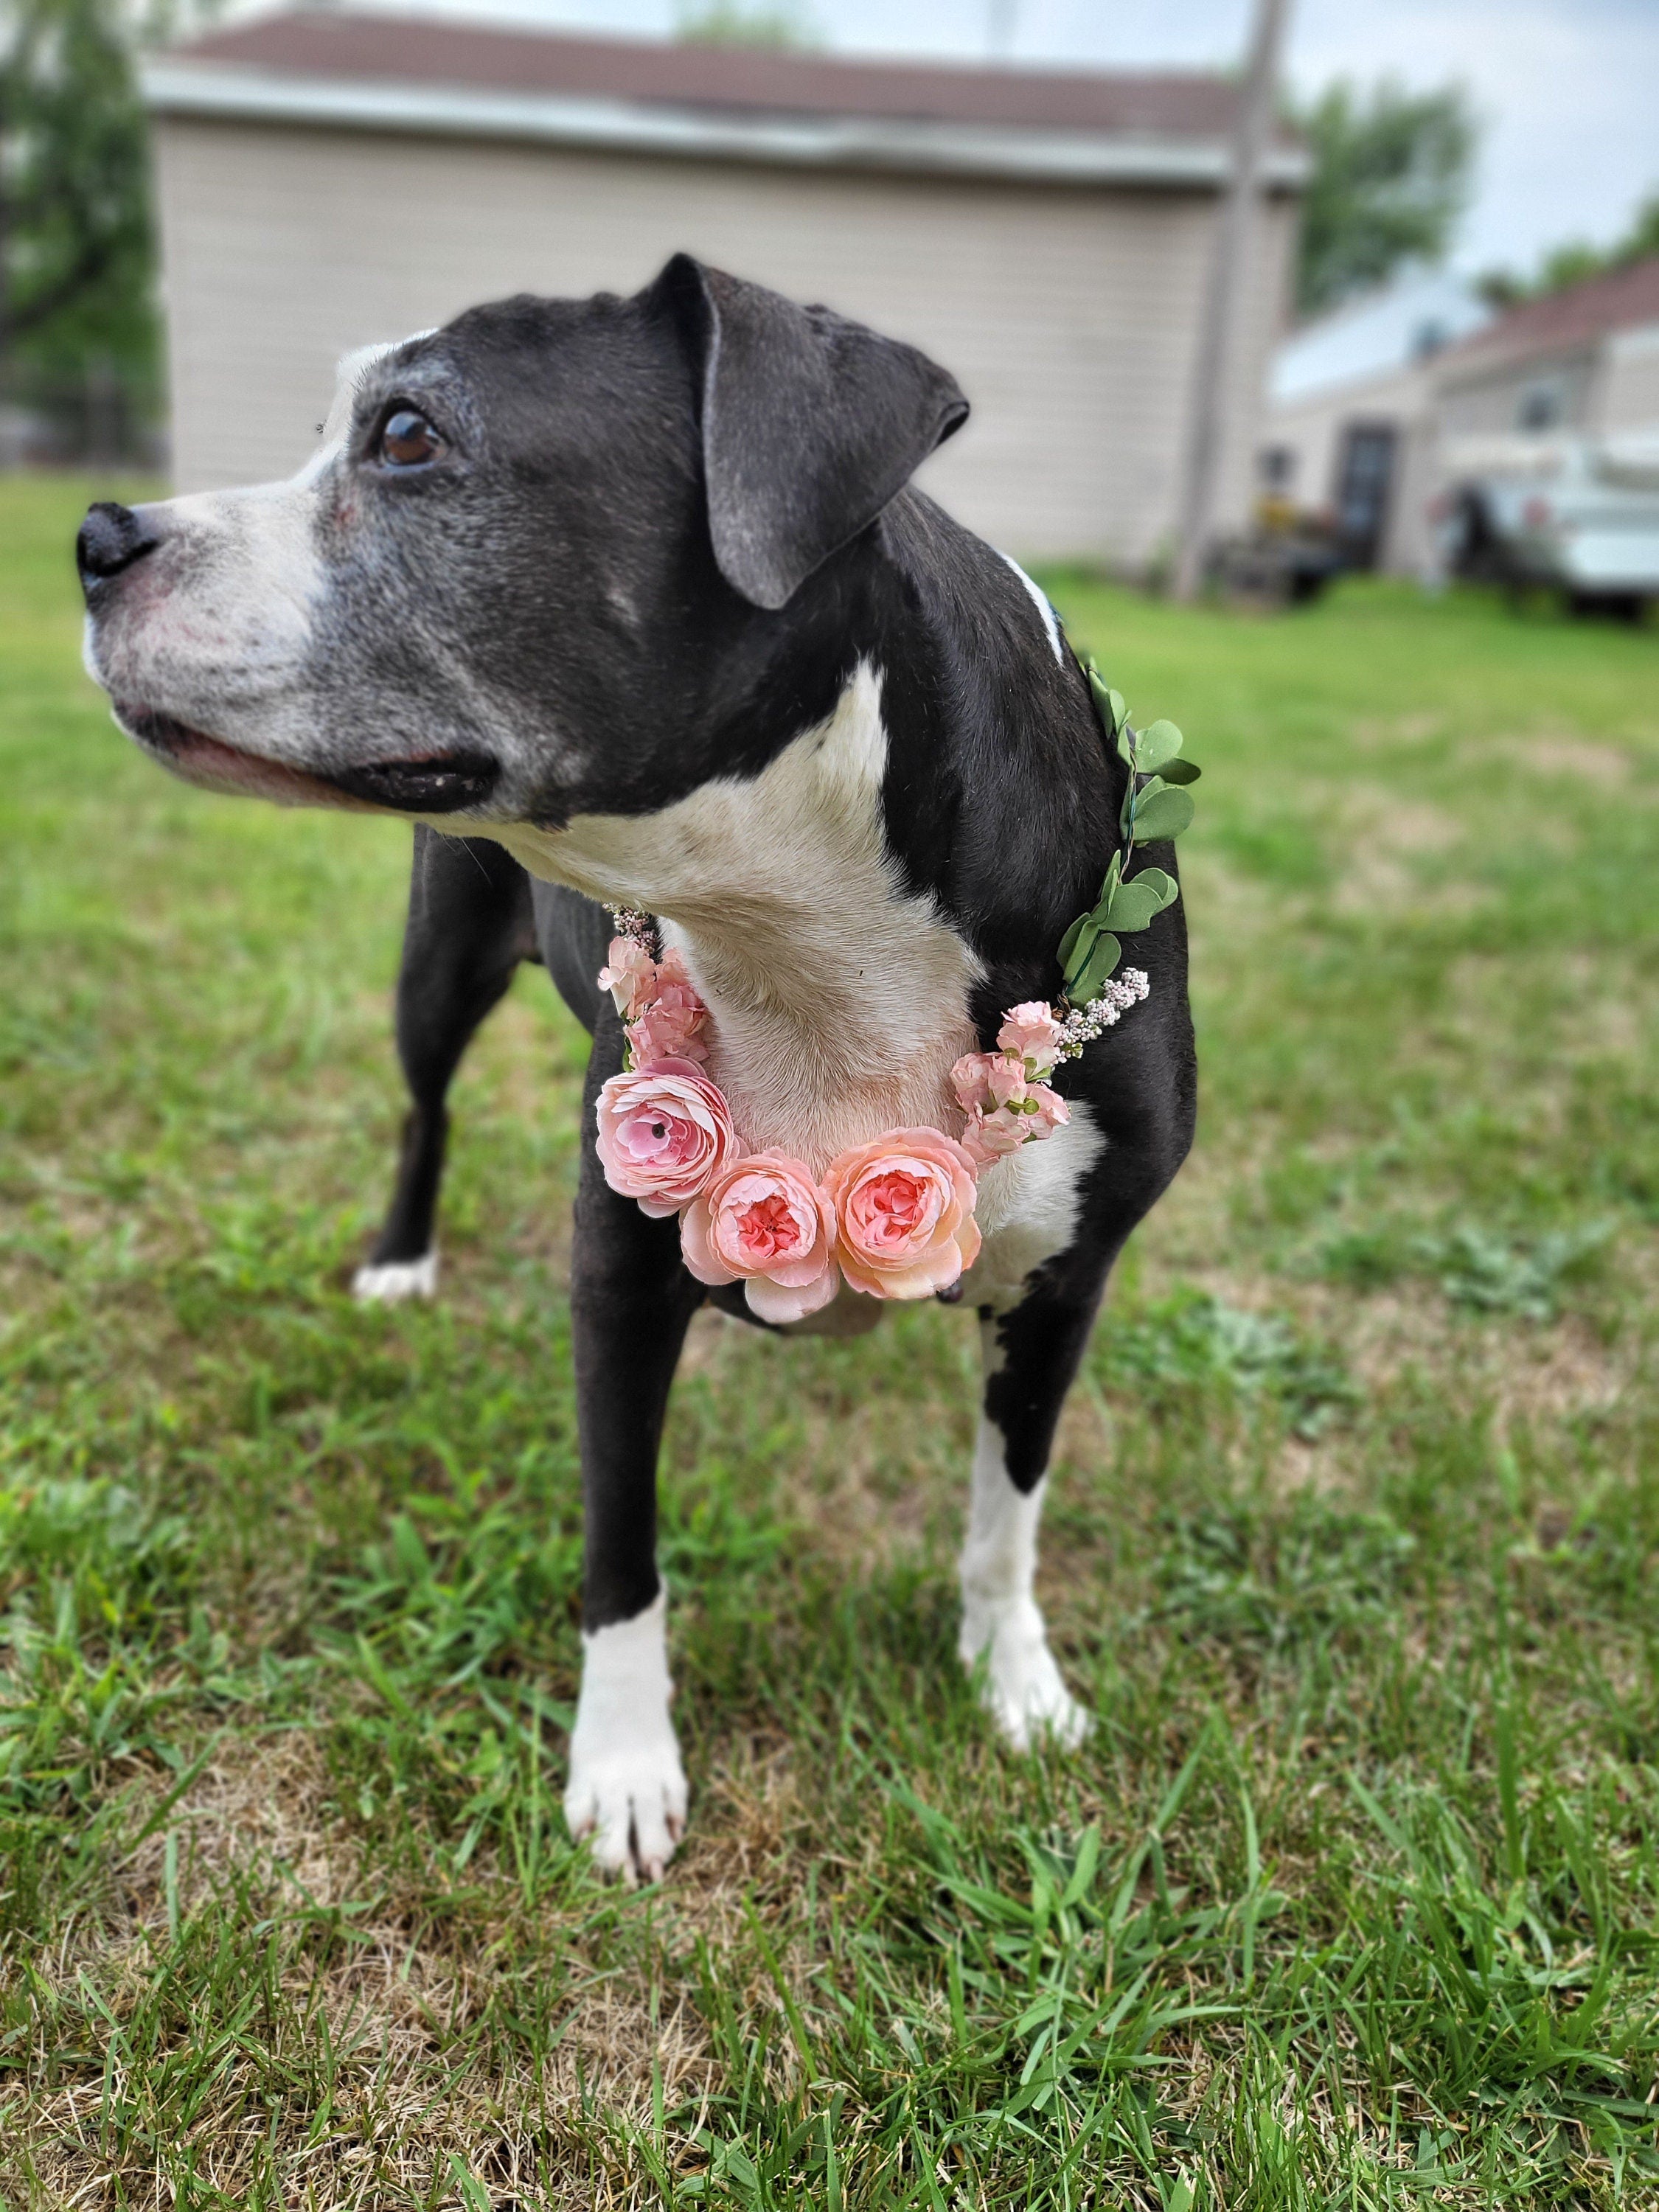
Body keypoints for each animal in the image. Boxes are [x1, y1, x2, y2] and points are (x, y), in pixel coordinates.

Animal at [81, 259, 1194, 1885]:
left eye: (407, 437)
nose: (98, 536)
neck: (806, 927)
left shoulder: (1068, 1276)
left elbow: (1010, 1510)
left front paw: (1016, 1681)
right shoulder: (617, 1259)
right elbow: (623, 1541)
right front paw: (620, 1768)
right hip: (438, 966)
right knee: (425, 1104)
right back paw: (401, 1259)